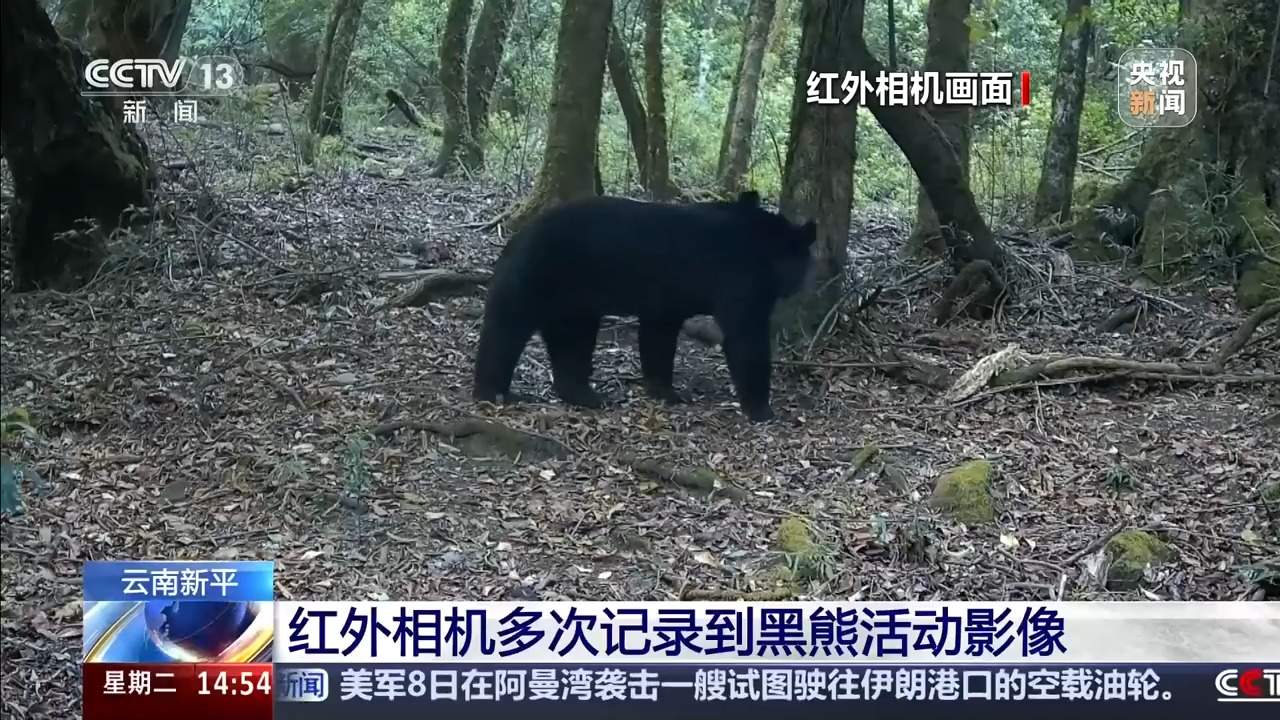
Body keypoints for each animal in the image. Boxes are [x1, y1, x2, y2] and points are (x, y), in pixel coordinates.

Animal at [473, 190, 817, 422]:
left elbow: (658, 335)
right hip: (537, 281)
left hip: (571, 302)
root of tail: (515, 239)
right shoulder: (740, 279)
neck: (764, 246)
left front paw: (666, 390)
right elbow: (746, 338)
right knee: (505, 331)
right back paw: (493, 392)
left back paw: (585, 394)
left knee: (571, 342)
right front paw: (762, 408)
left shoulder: (668, 298)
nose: (800, 286)